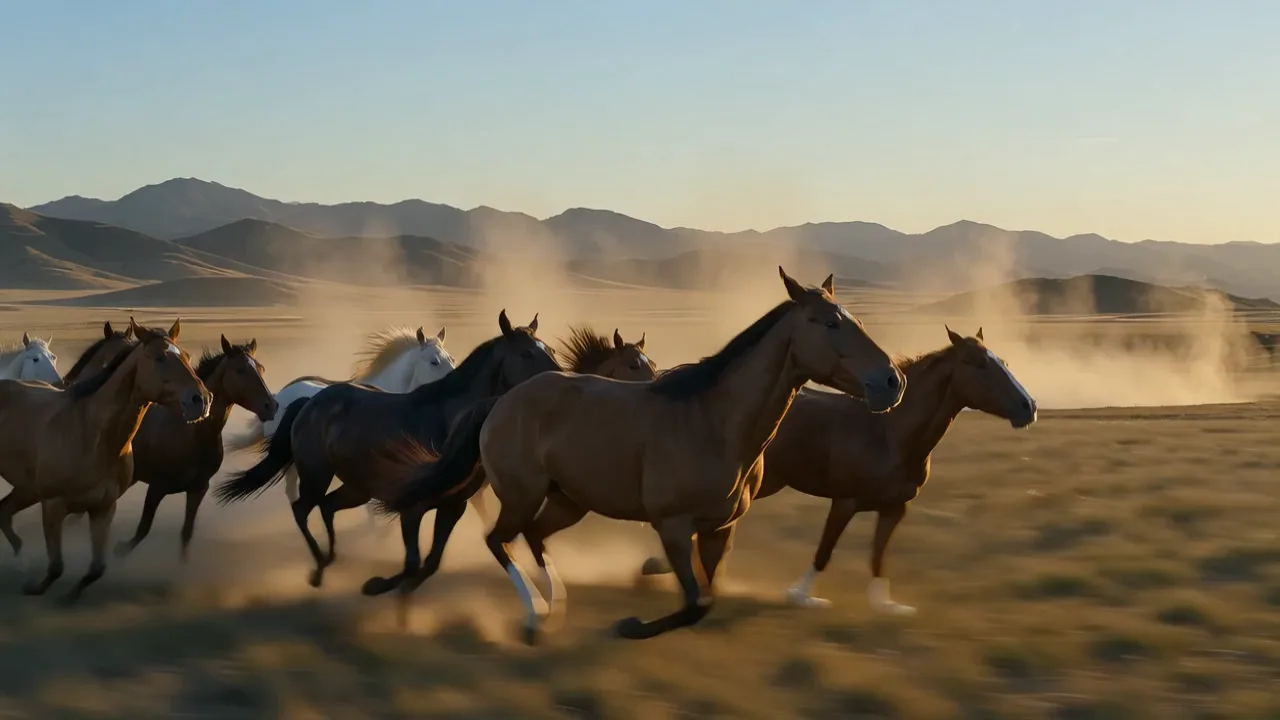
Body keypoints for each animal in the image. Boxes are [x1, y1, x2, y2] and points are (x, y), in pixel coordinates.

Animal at [0, 318, 210, 598]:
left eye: (186, 355)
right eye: (159, 357)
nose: (201, 399)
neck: (91, 435)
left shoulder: (103, 508)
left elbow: (97, 569)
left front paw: (70, 596)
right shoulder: (53, 505)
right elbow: (56, 567)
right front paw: (35, 588)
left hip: (27, 489)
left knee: (3, 511)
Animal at [114, 336, 277, 561]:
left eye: (261, 368)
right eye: (240, 370)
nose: (271, 406)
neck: (190, 435)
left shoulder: (197, 489)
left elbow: (186, 534)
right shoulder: (157, 488)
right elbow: (142, 530)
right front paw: (117, 551)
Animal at [382, 268, 905, 643]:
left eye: (857, 321)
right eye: (831, 323)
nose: (892, 381)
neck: (715, 423)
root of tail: (501, 401)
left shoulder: (719, 529)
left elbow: (710, 595)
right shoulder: (673, 525)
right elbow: (695, 602)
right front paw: (630, 624)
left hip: (568, 500)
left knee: (531, 536)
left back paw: (554, 606)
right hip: (521, 494)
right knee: (499, 540)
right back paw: (533, 617)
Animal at [638, 326, 1037, 615]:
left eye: (1002, 361)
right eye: (979, 364)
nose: (1028, 406)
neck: (889, 434)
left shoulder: (895, 508)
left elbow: (879, 555)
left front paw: (886, 604)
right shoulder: (845, 502)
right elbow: (825, 551)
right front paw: (800, 596)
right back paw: (659, 566)